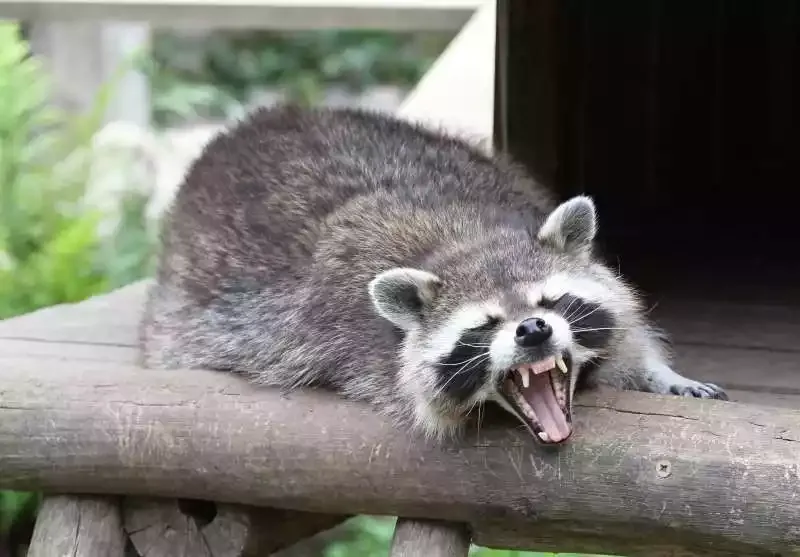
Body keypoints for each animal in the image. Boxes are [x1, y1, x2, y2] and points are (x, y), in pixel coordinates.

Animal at [139, 105, 728, 446]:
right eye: (484, 325)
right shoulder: (352, 350)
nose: (532, 330)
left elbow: (627, 327)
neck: (466, 241)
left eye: (550, 302)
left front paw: (657, 370)